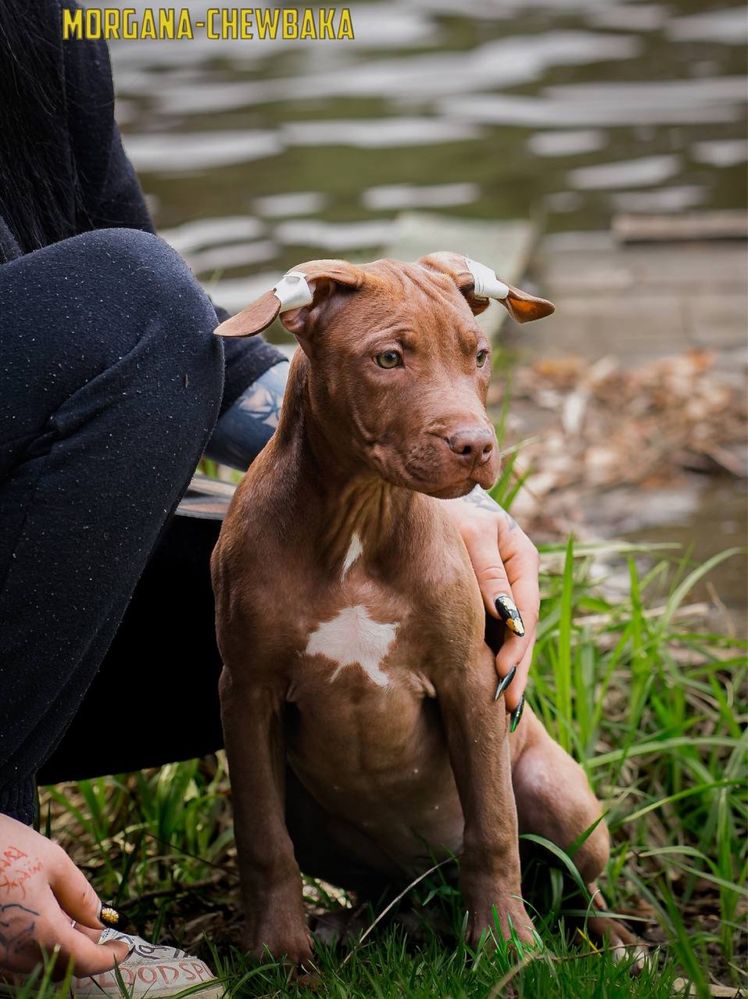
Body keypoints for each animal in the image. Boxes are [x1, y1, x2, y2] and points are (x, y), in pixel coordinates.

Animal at [212, 254, 636, 964]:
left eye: (481, 355)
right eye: (388, 358)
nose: (477, 446)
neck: (358, 522)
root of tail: (428, 880)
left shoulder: (471, 681)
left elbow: (492, 826)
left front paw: (507, 946)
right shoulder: (246, 692)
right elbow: (263, 840)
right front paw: (278, 954)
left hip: (560, 794)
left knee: (575, 881)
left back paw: (616, 943)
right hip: (314, 814)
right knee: (376, 886)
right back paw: (359, 925)